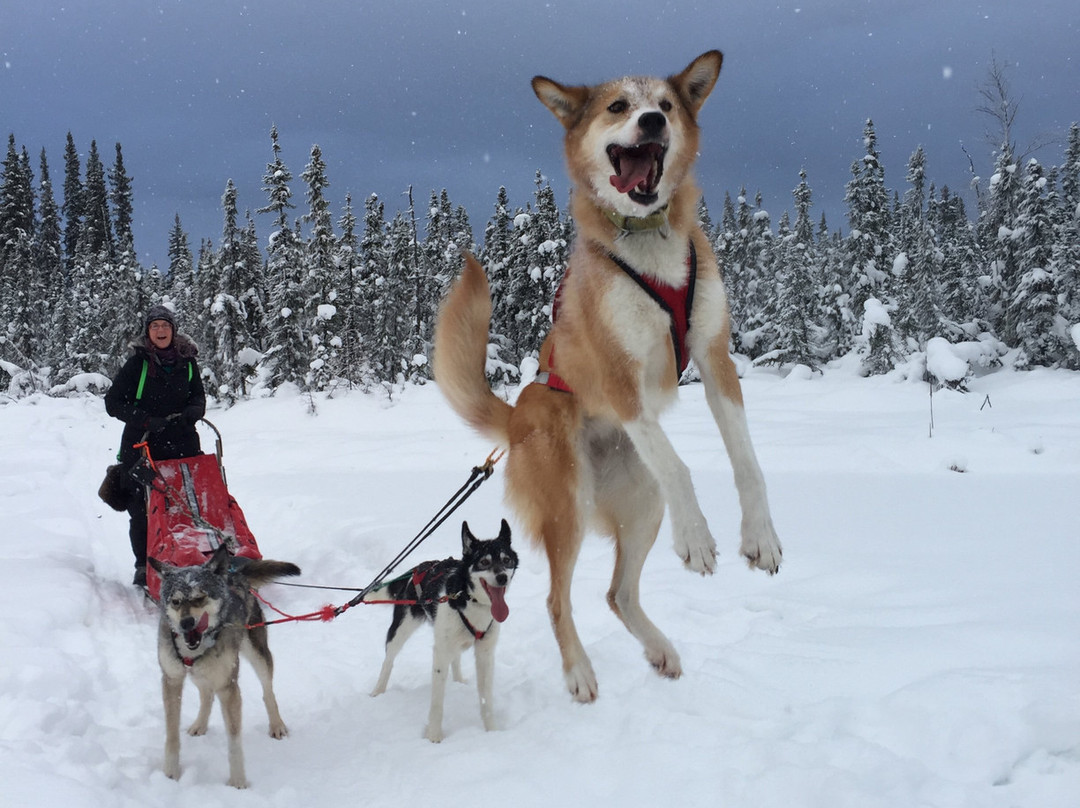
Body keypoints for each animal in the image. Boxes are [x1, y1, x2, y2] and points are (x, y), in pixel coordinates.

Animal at [147, 546, 300, 786]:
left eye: (200, 598)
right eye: (175, 601)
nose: (186, 623)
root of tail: (233, 575)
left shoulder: (229, 688)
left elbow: (234, 741)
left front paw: (237, 782)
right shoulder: (171, 680)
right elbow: (171, 734)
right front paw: (170, 773)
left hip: (257, 655)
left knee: (268, 692)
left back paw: (276, 725)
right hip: (200, 673)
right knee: (207, 695)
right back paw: (200, 724)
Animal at [367, 520, 518, 743]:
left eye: (506, 560)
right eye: (484, 562)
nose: (502, 578)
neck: (468, 599)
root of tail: (418, 568)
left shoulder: (485, 653)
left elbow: (486, 699)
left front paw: (492, 731)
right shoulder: (440, 654)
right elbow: (437, 702)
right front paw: (434, 736)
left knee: (455, 657)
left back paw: (459, 680)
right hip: (402, 629)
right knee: (389, 659)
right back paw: (378, 691)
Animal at [432, 53, 786, 704]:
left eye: (666, 106)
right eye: (619, 107)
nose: (651, 121)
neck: (648, 241)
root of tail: (517, 418)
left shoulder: (716, 359)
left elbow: (746, 460)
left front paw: (760, 536)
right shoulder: (622, 382)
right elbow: (680, 463)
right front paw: (698, 537)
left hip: (643, 502)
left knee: (617, 593)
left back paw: (660, 648)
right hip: (569, 508)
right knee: (556, 599)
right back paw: (579, 672)